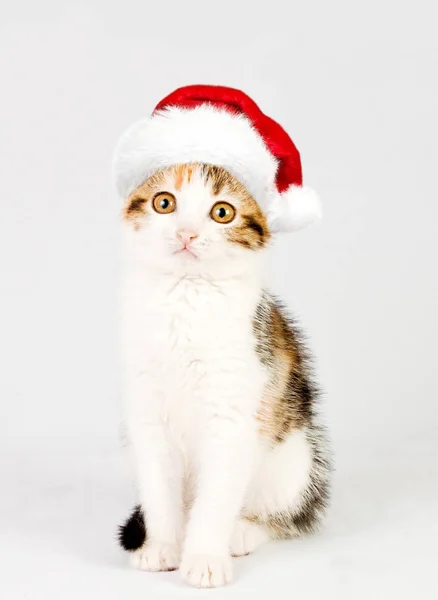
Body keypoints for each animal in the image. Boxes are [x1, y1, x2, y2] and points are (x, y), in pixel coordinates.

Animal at [118, 163, 330, 584]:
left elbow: (217, 496)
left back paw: (243, 530)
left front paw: (203, 559)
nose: (186, 232)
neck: (185, 299)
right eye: (164, 203)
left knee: (288, 515)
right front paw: (162, 547)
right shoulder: (146, 412)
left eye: (222, 212)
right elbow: (158, 487)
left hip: (297, 458)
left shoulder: (235, 414)